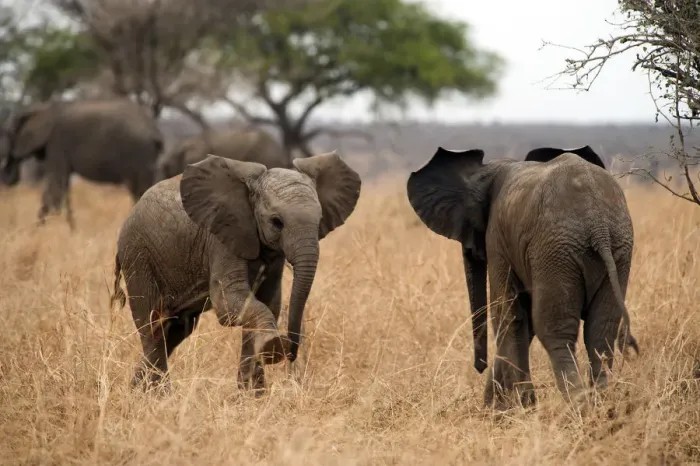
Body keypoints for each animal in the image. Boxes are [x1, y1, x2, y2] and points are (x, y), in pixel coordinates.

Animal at [0, 99, 164, 228]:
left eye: (9, 134)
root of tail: (154, 128)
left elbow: (56, 188)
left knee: (139, 190)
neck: (43, 107)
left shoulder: (57, 143)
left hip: (137, 152)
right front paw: (71, 231)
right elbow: (62, 186)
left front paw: (37, 230)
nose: (8, 172)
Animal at [110, 151, 361, 393]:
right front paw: (273, 349)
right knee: (152, 325)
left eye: (319, 221)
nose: (291, 353)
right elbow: (230, 304)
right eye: (277, 222)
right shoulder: (221, 237)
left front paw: (252, 396)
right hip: (138, 257)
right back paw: (157, 396)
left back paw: (135, 392)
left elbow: (268, 303)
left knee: (175, 331)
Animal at [406, 145, 638, 410]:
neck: (490, 170)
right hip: (617, 250)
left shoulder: (497, 239)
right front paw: (500, 407)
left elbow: (508, 313)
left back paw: (578, 407)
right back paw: (601, 407)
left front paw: (519, 406)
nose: (479, 367)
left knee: (555, 331)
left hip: (556, 251)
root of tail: (598, 226)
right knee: (601, 330)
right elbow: (523, 318)